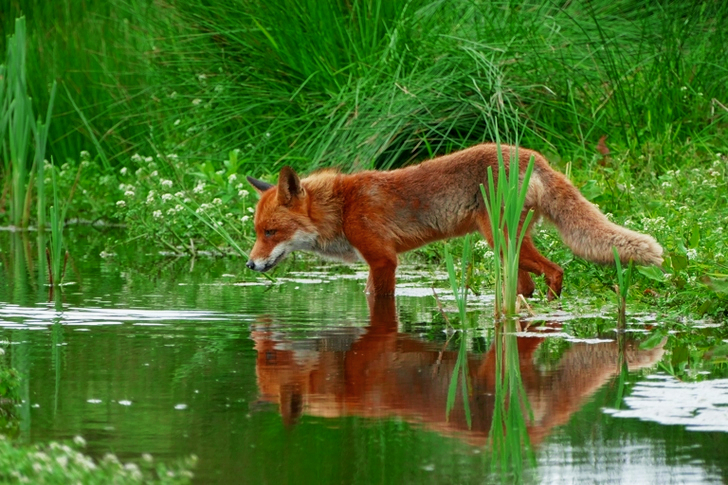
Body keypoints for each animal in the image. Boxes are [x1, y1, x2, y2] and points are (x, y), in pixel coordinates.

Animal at [245, 143, 663, 299]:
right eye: (257, 233)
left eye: (271, 232)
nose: (249, 264)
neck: (342, 208)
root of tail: (532, 156)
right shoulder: (375, 263)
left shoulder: (383, 260)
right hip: (509, 248)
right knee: (528, 283)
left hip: (501, 241)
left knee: (556, 270)